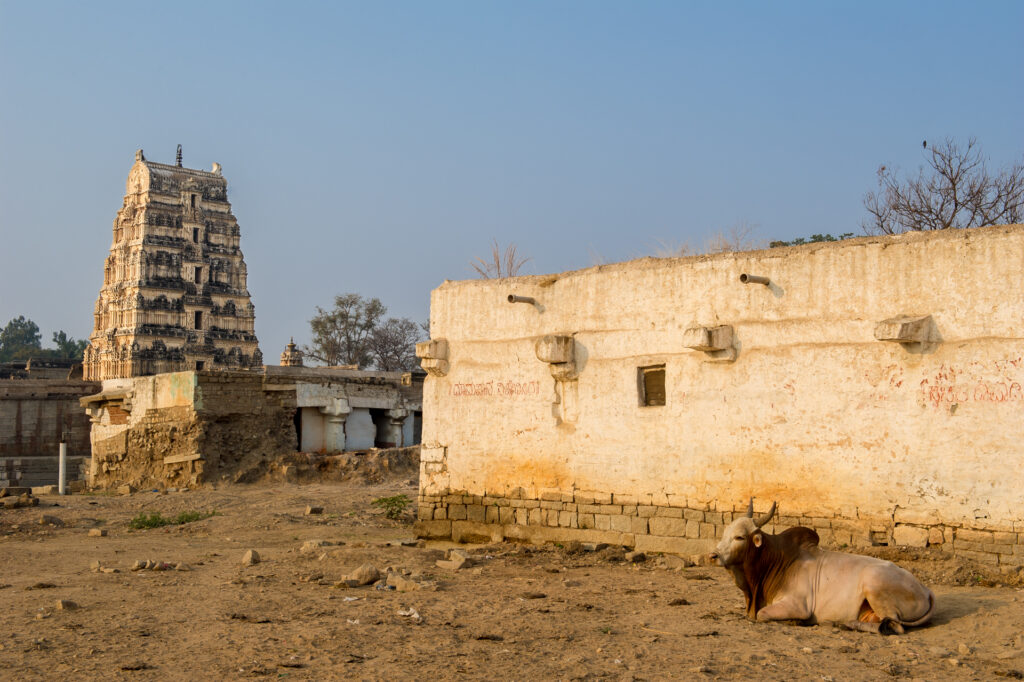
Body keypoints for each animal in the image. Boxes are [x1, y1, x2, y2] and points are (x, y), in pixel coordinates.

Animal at [709, 499, 935, 634]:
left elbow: (762, 614)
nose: (713, 556)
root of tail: (926, 589)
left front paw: (795, 622)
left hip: (874, 583)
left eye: (739, 537)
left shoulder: (797, 605)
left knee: (894, 626)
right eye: (724, 533)